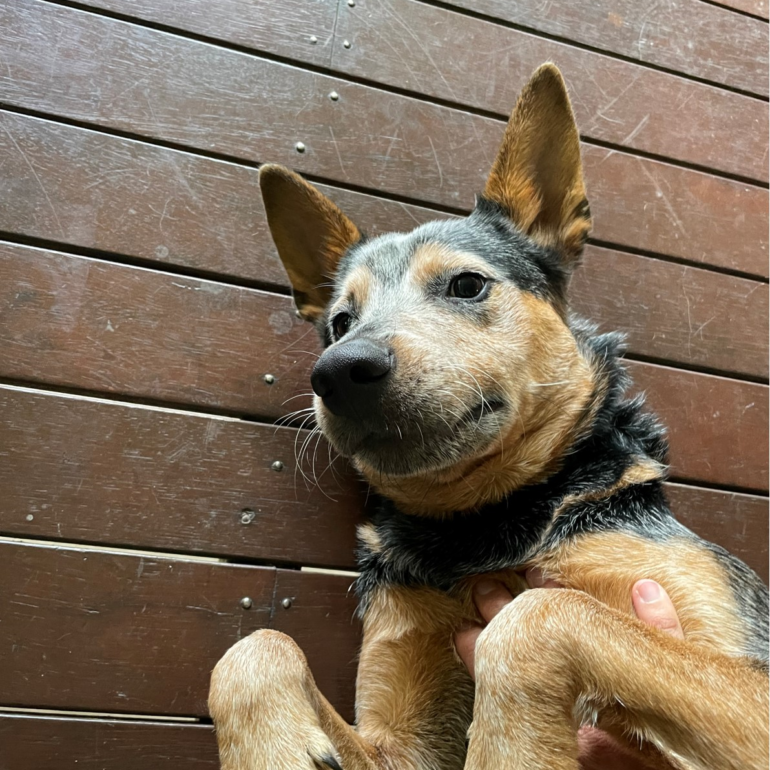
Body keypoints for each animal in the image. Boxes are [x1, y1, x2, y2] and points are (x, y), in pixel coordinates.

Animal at [207, 64, 764, 768]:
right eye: (339, 322)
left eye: (467, 285)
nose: (337, 369)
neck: (481, 528)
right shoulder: (403, 740)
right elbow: (252, 648)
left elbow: (539, 616)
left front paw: (513, 745)